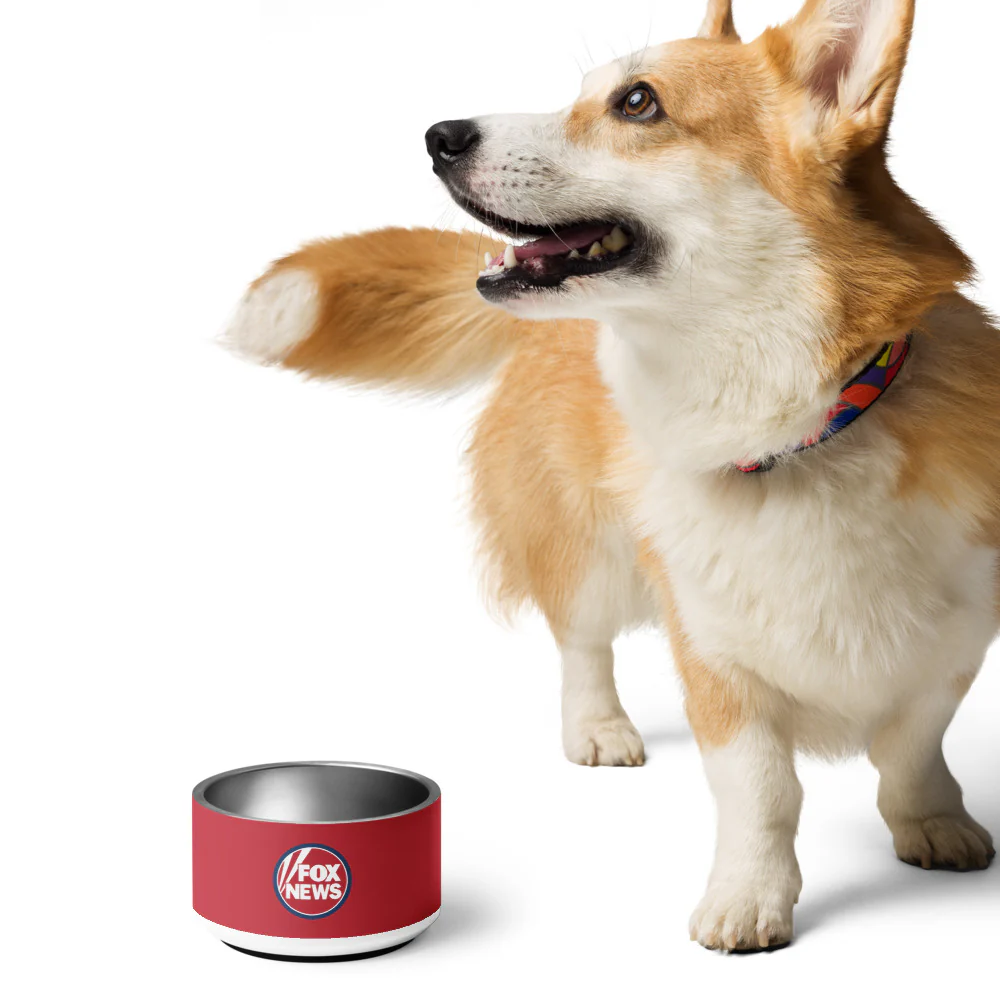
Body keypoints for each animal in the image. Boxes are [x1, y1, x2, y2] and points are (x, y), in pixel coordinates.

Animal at [226, 0, 998, 951]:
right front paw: (748, 898)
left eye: (638, 102)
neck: (808, 431)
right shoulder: (712, 652)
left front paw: (932, 822)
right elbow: (762, 789)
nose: (438, 135)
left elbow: (912, 745)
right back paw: (598, 728)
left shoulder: (956, 641)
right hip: (590, 554)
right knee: (581, 641)